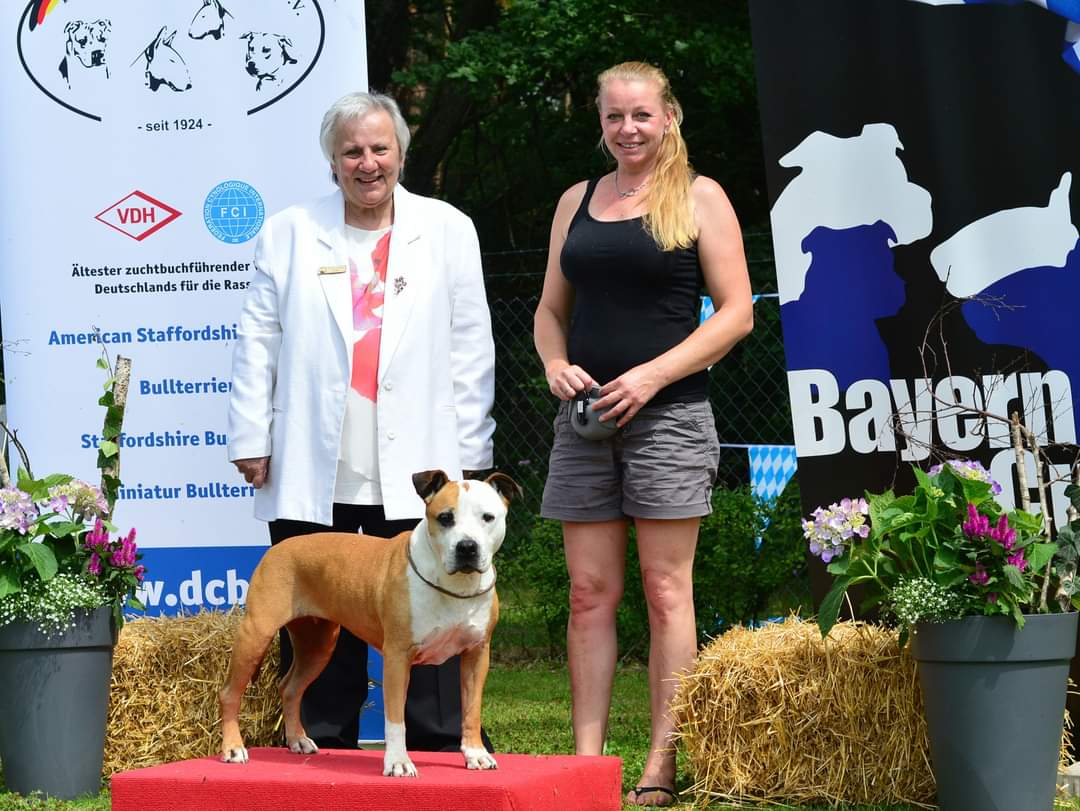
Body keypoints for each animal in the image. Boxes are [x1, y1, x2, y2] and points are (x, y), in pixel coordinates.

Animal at [219, 469, 521, 777]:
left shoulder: (476, 655)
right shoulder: (398, 657)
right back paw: (233, 748)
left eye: (488, 517)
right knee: (230, 693)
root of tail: (278, 548)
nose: (467, 547)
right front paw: (398, 762)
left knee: (290, 687)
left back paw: (298, 740)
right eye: (445, 517)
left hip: (317, 645)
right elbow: (396, 719)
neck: (455, 584)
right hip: (256, 634)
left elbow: (471, 710)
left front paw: (476, 754)